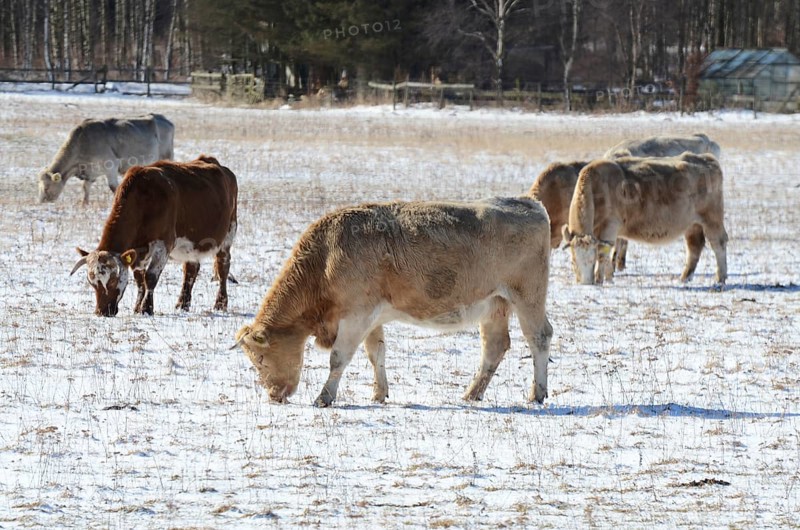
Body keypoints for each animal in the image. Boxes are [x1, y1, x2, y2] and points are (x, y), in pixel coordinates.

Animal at [38, 114, 175, 205]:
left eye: (46, 187)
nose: (41, 202)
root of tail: (162, 118)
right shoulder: (91, 172)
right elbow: (85, 187)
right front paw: (84, 204)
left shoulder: (111, 166)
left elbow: (114, 187)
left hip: (167, 156)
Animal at [70, 155, 237, 317]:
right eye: (92, 282)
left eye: (112, 280)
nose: (102, 311)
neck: (143, 198)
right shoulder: (138, 250)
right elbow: (139, 278)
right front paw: (137, 307)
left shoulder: (164, 245)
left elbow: (150, 277)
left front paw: (147, 308)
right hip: (191, 246)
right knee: (190, 270)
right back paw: (182, 304)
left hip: (228, 235)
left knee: (223, 266)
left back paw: (220, 304)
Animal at [234, 197, 553, 407]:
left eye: (260, 358)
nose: (274, 395)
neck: (326, 258)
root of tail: (529, 203)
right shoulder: (370, 318)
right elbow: (376, 354)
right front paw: (379, 394)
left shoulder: (356, 316)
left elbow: (338, 358)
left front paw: (324, 397)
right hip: (494, 306)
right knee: (495, 347)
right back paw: (472, 393)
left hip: (528, 298)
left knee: (539, 337)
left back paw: (536, 394)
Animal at [562, 152, 728, 286]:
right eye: (573, 260)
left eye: (591, 260)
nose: (585, 283)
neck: (596, 186)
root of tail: (707, 159)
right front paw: (609, 278)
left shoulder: (610, 226)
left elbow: (603, 253)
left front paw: (600, 279)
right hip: (692, 224)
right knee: (694, 247)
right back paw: (684, 277)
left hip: (712, 218)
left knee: (718, 243)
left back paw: (720, 278)